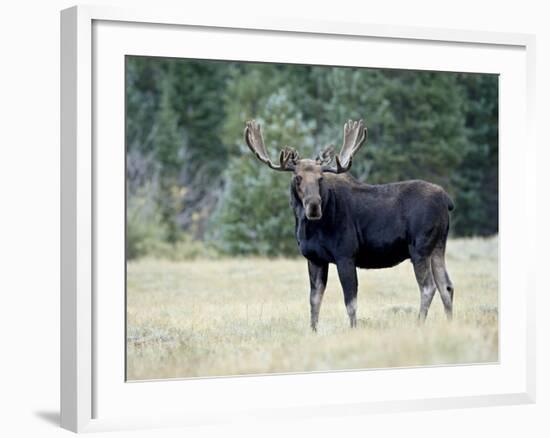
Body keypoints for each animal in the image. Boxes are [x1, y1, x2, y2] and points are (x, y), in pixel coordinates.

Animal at [246, 118, 458, 330]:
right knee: (446, 286)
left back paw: (419, 323)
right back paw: (449, 323)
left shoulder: (346, 255)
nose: (314, 206)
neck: (309, 229)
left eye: (320, 178)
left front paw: (353, 328)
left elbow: (351, 302)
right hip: (438, 246)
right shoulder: (315, 258)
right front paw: (313, 330)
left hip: (420, 247)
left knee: (428, 287)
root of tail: (447, 200)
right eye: (297, 177)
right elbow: (314, 300)